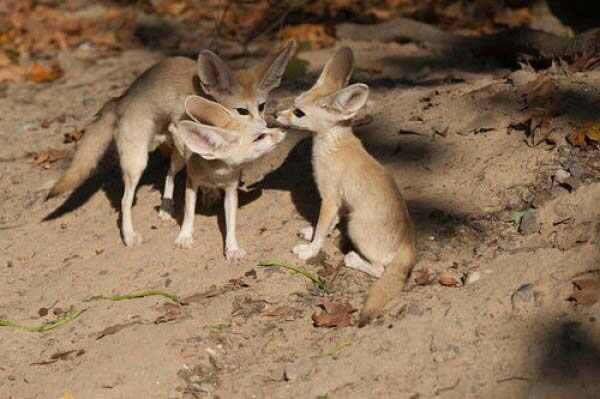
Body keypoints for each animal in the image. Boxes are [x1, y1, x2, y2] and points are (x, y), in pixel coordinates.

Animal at [165, 95, 284, 260]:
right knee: (169, 174)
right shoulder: (191, 182)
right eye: (259, 137)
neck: (217, 173)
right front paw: (185, 236)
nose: (282, 130)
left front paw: (232, 248)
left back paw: (210, 194)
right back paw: (165, 207)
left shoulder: (231, 190)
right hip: (179, 160)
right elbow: (189, 213)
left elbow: (231, 222)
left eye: (266, 127)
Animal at [276, 47, 418, 328]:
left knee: (380, 269)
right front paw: (310, 233)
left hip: (355, 226)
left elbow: (323, 227)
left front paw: (310, 249)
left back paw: (353, 259)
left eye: (299, 113)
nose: (274, 116)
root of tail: (410, 245)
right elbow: (326, 224)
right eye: (294, 104)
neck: (333, 144)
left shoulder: (330, 197)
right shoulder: (339, 202)